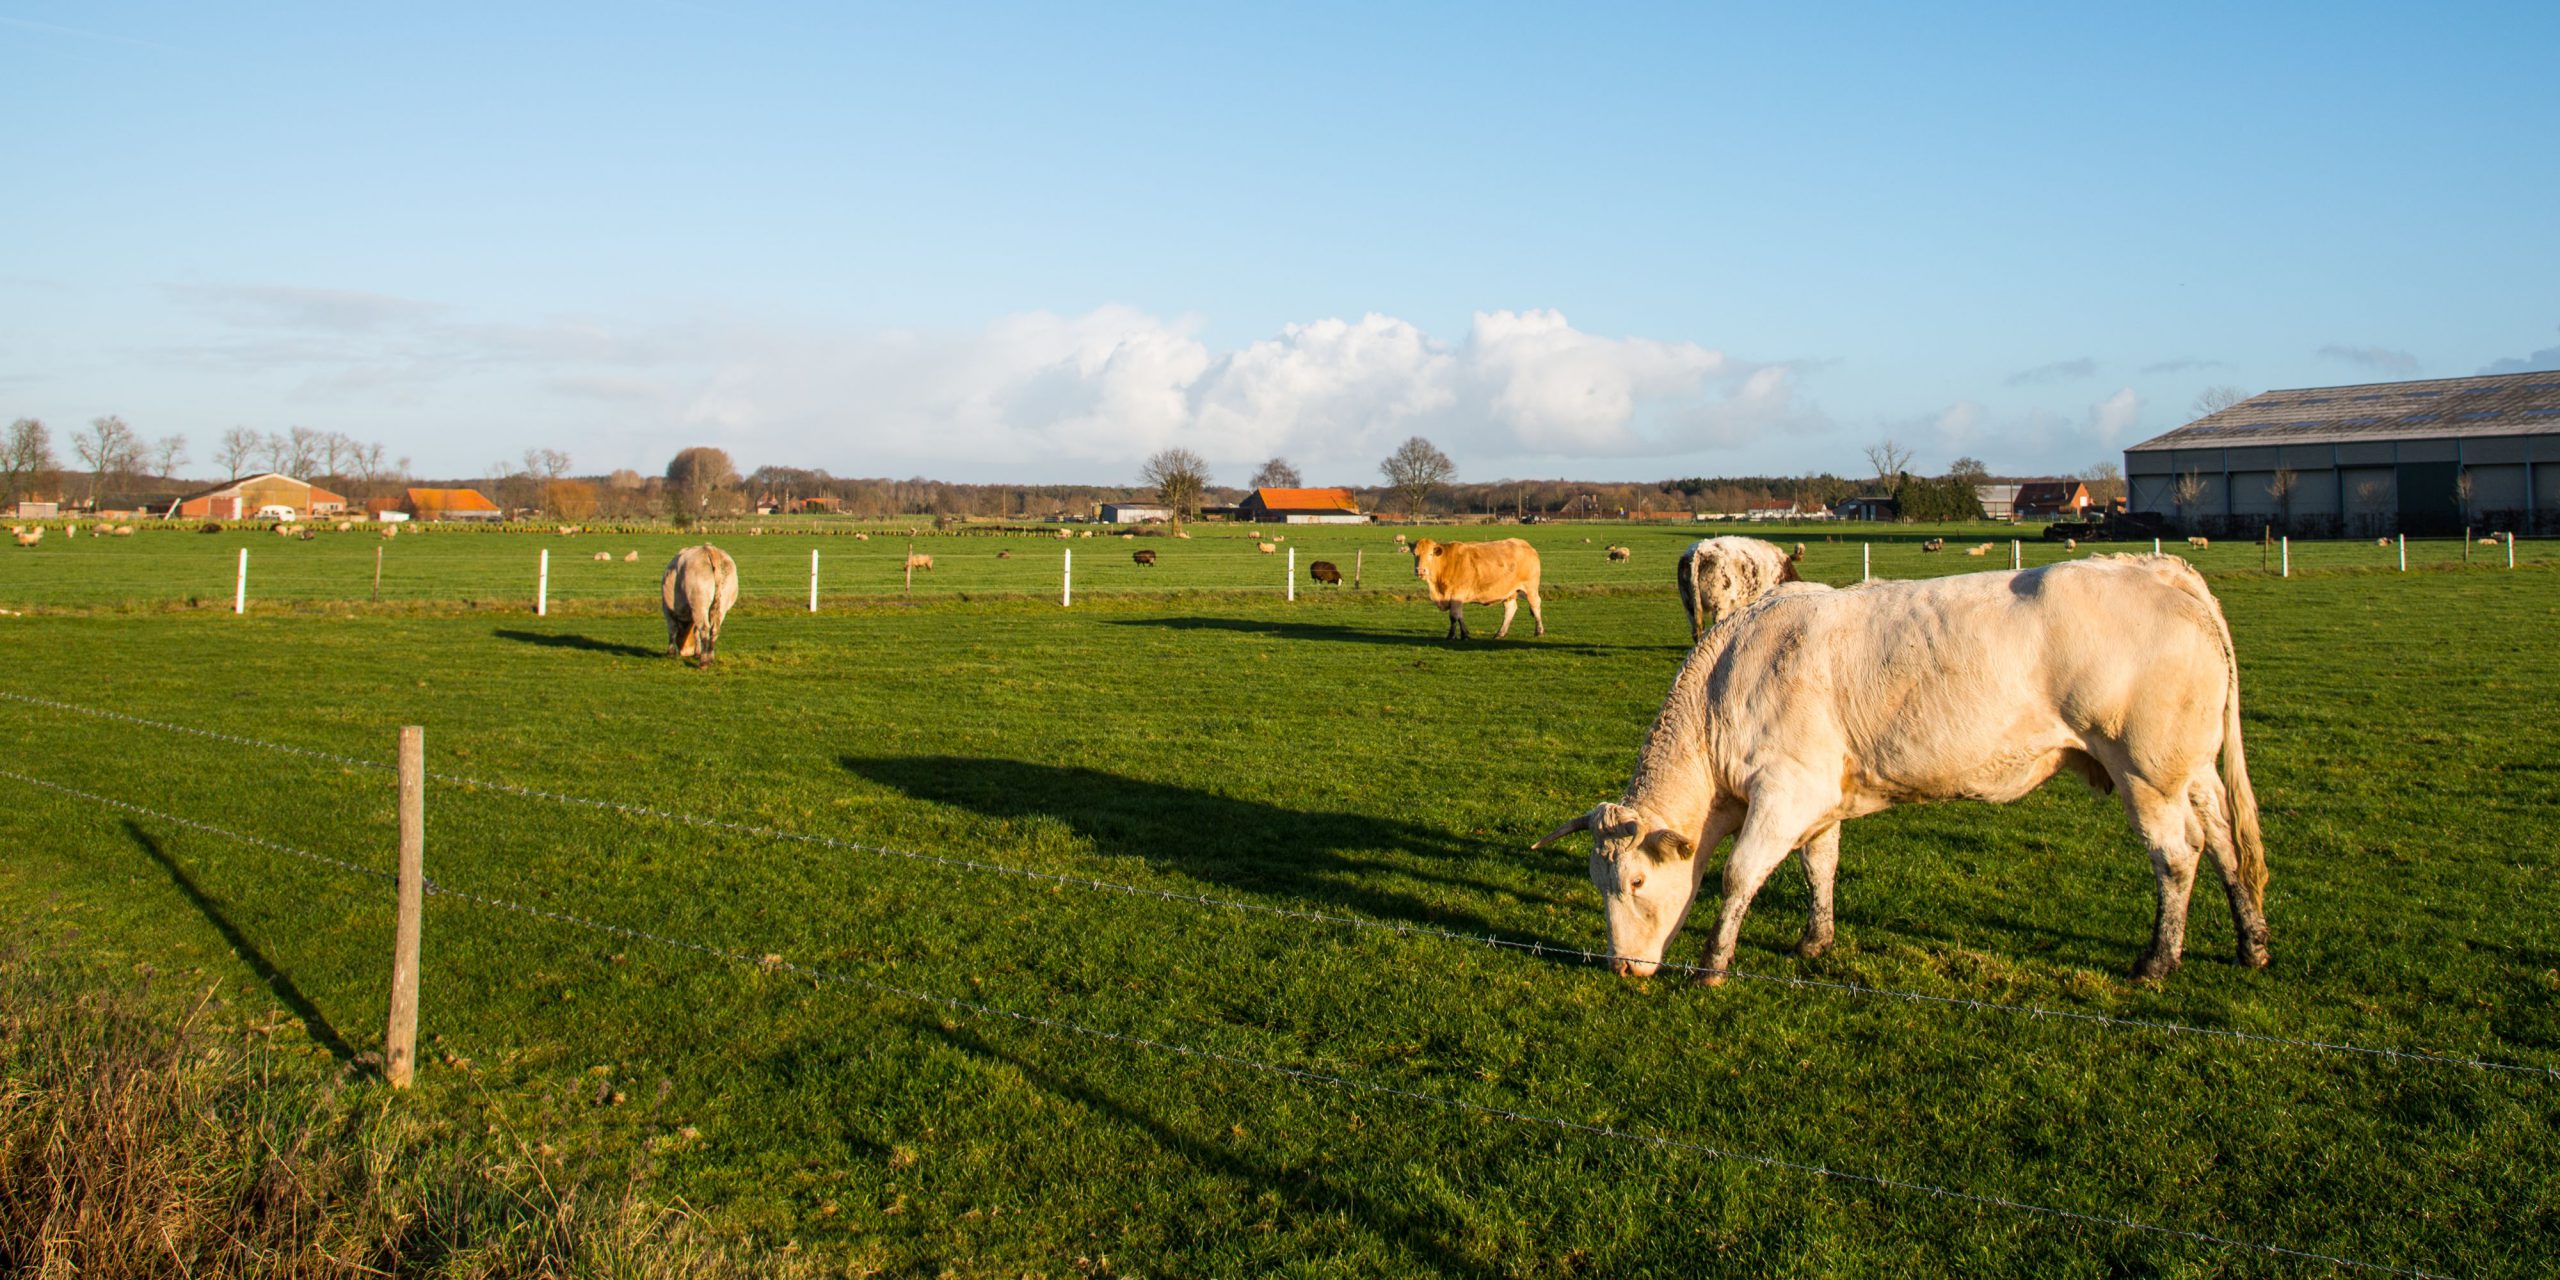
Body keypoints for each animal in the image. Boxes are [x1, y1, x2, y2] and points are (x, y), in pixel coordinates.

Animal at [1413, 537, 1546, 640]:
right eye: (1415, 555)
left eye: (1430, 554)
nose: (1420, 570)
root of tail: (1525, 544)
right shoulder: (1455, 598)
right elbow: (1460, 616)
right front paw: (1465, 634)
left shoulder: (1457, 594)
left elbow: (1454, 616)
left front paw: (1451, 636)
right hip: (1509, 591)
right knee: (1510, 608)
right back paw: (1500, 633)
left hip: (1530, 588)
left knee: (1535, 605)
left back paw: (1539, 631)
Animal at [1536, 555, 2263, 983]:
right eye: (1595, 881)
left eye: (1634, 881)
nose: (1621, 967)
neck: (1729, 680)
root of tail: (2157, 566)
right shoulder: (1818, 796)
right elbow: (1819, 867)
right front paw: (1815, 942)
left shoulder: (1785, 790)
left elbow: (1742, 873)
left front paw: (1714, 963)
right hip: (2193, 769)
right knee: (2227, 845)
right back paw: (2250, 942)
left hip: (2148, 772)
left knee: (2178, 856)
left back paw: (2157, 961)